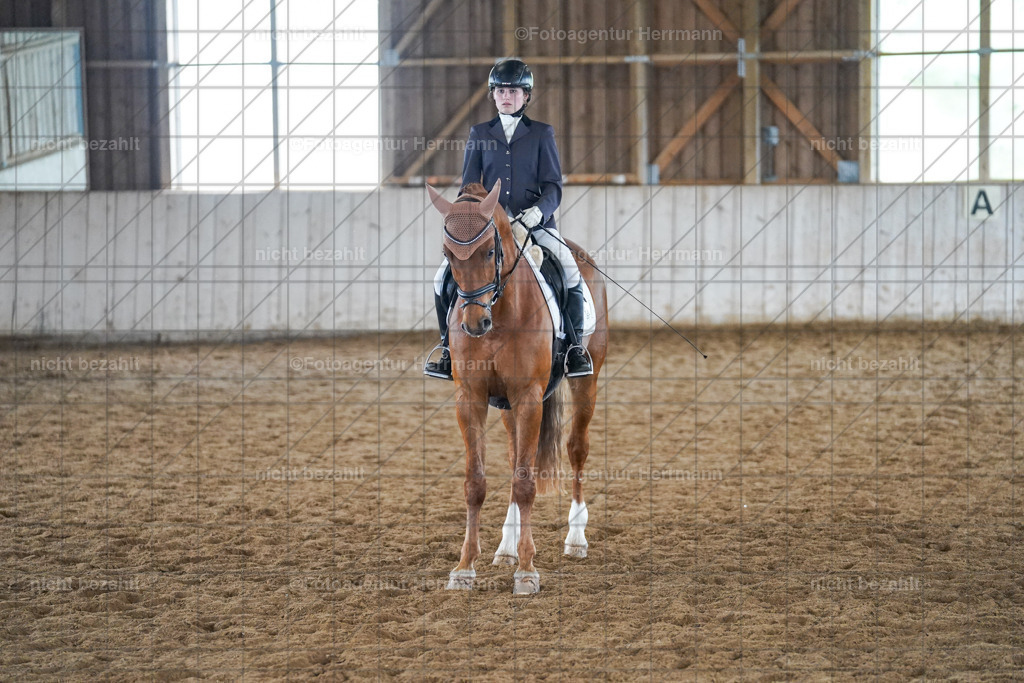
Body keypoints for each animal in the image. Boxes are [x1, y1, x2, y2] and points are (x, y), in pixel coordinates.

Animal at [426, 178, 608, 595]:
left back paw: (575, 539)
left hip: (586, 383)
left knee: (576, 448)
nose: (474, 324)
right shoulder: (472, 399)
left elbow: (526, 482)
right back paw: (506, 547)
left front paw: (527, 571)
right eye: (448, 254)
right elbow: (476, 482)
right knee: (513, 458)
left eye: (490, 251)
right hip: (506, 405)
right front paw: (464, 568)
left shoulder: (528, 398)